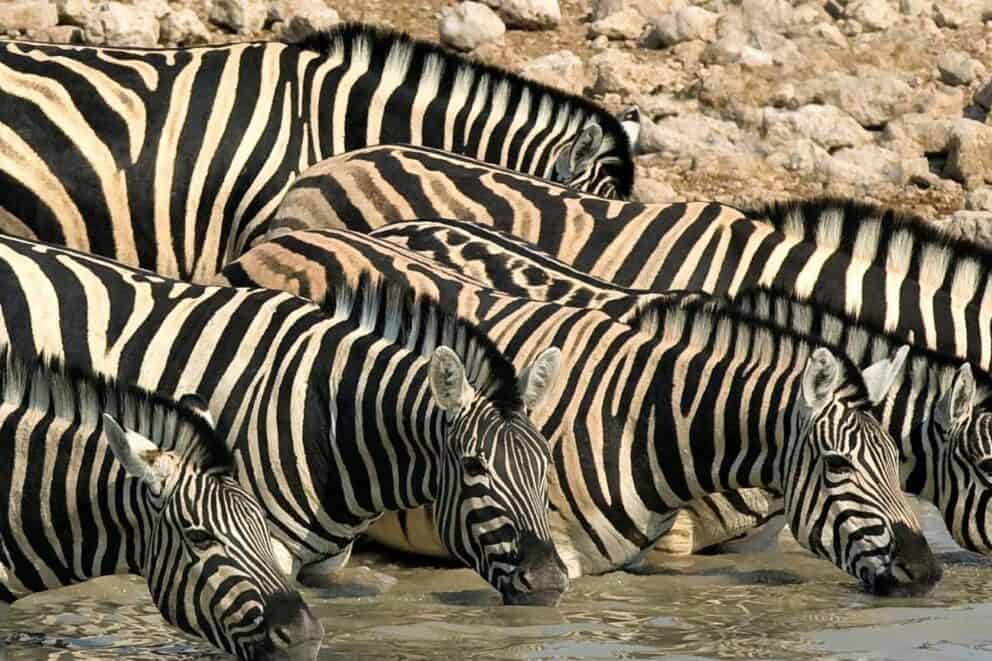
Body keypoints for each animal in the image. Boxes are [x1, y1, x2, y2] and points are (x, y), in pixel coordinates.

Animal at [0, 234, 568, 606]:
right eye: (475, 466)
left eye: (545, 465)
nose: (548, 585)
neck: (329, 421)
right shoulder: (253, 543)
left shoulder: (324, 567)